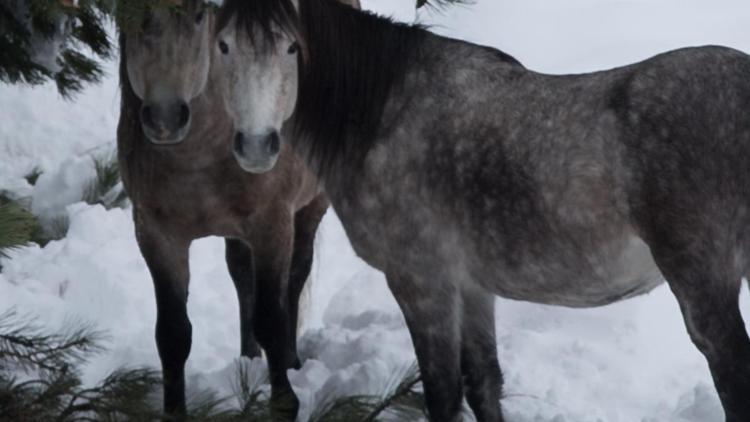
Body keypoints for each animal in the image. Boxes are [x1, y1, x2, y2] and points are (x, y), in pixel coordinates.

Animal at [118, 1, 328, 418]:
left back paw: (291, 360)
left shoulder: (272, 225)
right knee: (242, 275)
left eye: (199, 15)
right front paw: (174, 411)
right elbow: (173, 334)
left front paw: (285, 403)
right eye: (129, 16)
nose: (165, 117)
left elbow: (271, 317)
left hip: (312, 205)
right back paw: (248, 359)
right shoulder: (156, 234)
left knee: (296, 276)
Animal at [213, 0, 750, 422]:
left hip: (702, 283)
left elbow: (444, 395)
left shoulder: (422, 284)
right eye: (222, 45)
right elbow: (484, 385)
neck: (384, 115)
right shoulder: (471, 287)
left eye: (291, 47)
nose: (257, 145)